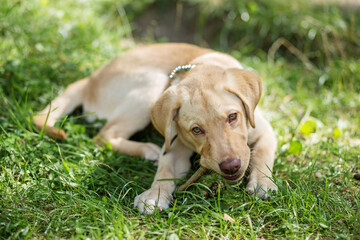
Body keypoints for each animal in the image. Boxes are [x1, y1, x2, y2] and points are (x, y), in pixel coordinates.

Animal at [33, 42, 276, 214]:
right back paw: (149, 150)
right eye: (196, 130)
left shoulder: (265, 131)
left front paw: (263, 182)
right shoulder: (173, 144)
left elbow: (263, 155)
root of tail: (88, 81)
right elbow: (166, 169)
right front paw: (154, 194)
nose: (231, 167)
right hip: (151, 86)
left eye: (233, 117)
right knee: (105, 136)